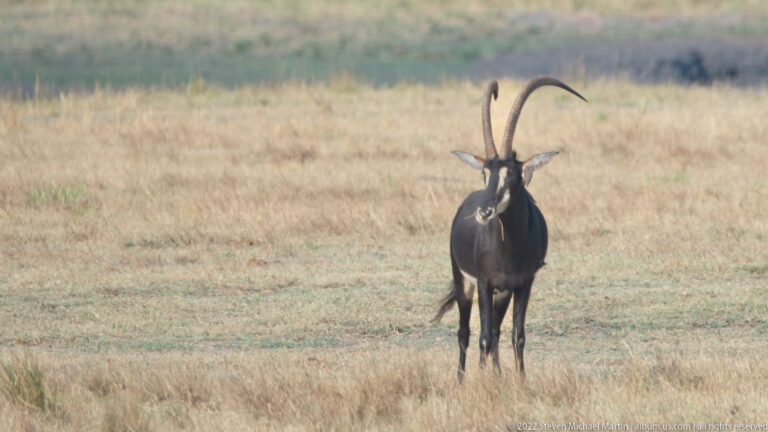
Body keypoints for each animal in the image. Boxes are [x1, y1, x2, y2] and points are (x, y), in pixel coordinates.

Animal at [432, 76, 586, 379]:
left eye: (512, 173)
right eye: (485, 172)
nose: (484, 212)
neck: (510, 246)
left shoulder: (523, 284)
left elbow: (517, 336)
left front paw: (520, 381)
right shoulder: (483, 283)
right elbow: (482, 337)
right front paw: (481, 382)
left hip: (502, 293)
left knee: (495, 331)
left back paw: (496, 374)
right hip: (464, 283)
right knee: (465, 333)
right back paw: (461, 380)